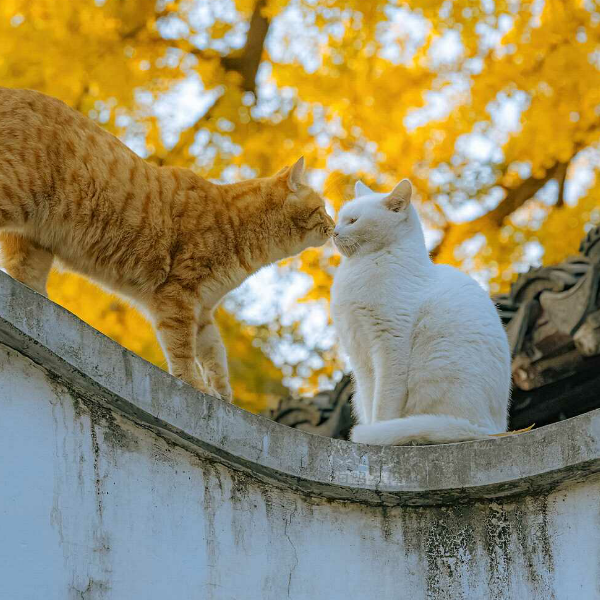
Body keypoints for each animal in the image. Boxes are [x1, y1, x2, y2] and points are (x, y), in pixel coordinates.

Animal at [0, 86, 336, 400]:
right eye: (322, 208)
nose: (334, 226)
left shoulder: (203, 311)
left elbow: (215, 355)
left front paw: (223, 395)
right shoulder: (178, 296)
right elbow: (182, 350)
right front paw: (196, 387)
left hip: (35, 243)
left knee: (26, 276)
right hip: (15, 193)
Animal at [328, 179, 510, 446]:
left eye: (353, 220)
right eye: (340, 219)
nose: (334, 231)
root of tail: (491, 429)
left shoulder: (390, 343)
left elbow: (384, 403)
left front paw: (376, 433)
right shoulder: (359, 355)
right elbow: (371, 399)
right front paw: (372, 430)